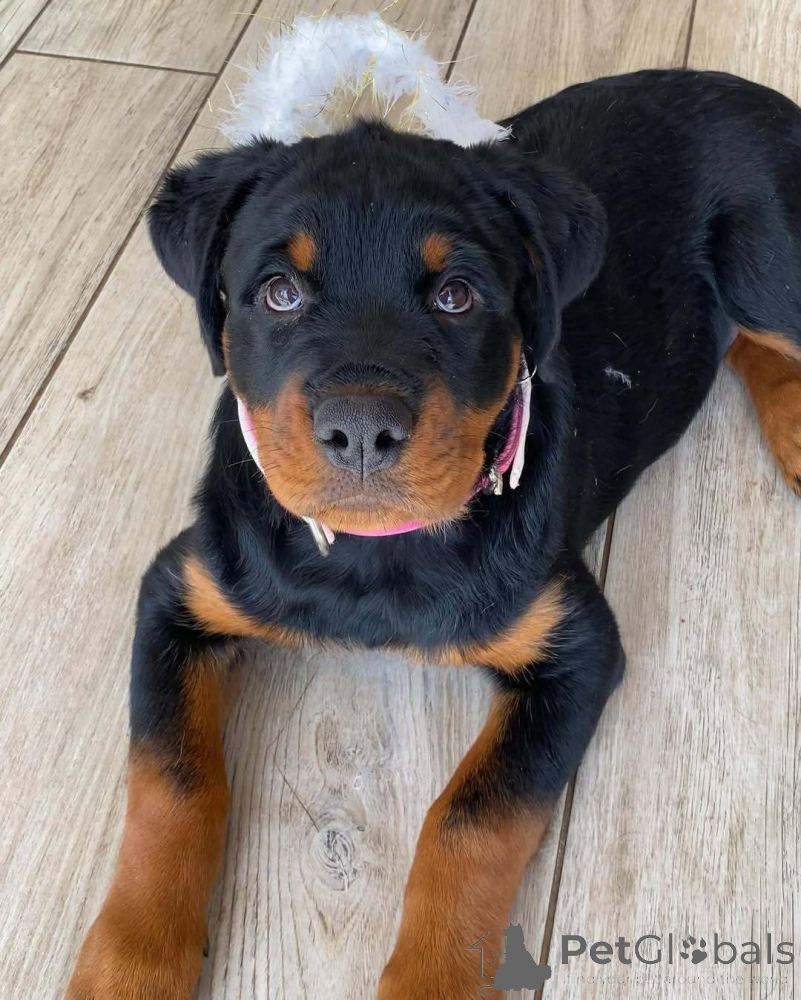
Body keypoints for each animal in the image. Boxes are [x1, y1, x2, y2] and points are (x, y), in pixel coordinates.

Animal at [66, 69, 801, 999]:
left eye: (457, 296)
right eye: (279, 292)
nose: (360, 429)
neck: (372, 559)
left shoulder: (574, 644)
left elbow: (472, 820)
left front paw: (431, 979)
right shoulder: (182, 591)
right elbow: (173, 777)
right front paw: (131, 960)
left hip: (764, 257)